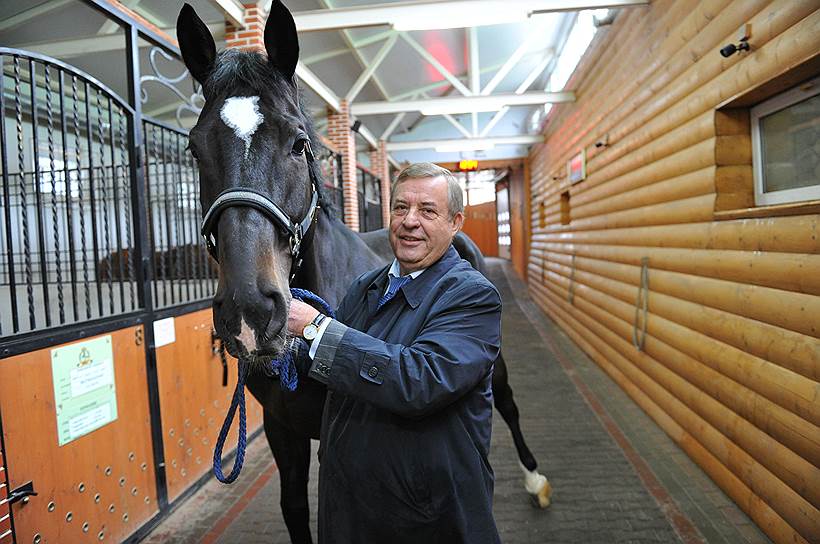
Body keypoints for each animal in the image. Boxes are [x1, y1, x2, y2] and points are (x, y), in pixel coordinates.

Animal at [178, 3, 552, 540]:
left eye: (298, 143)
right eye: (194, 147)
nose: (250, 310)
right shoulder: (283, 430)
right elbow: (295, 508)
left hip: (493, 364)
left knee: (506, 403)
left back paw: (535, 479)